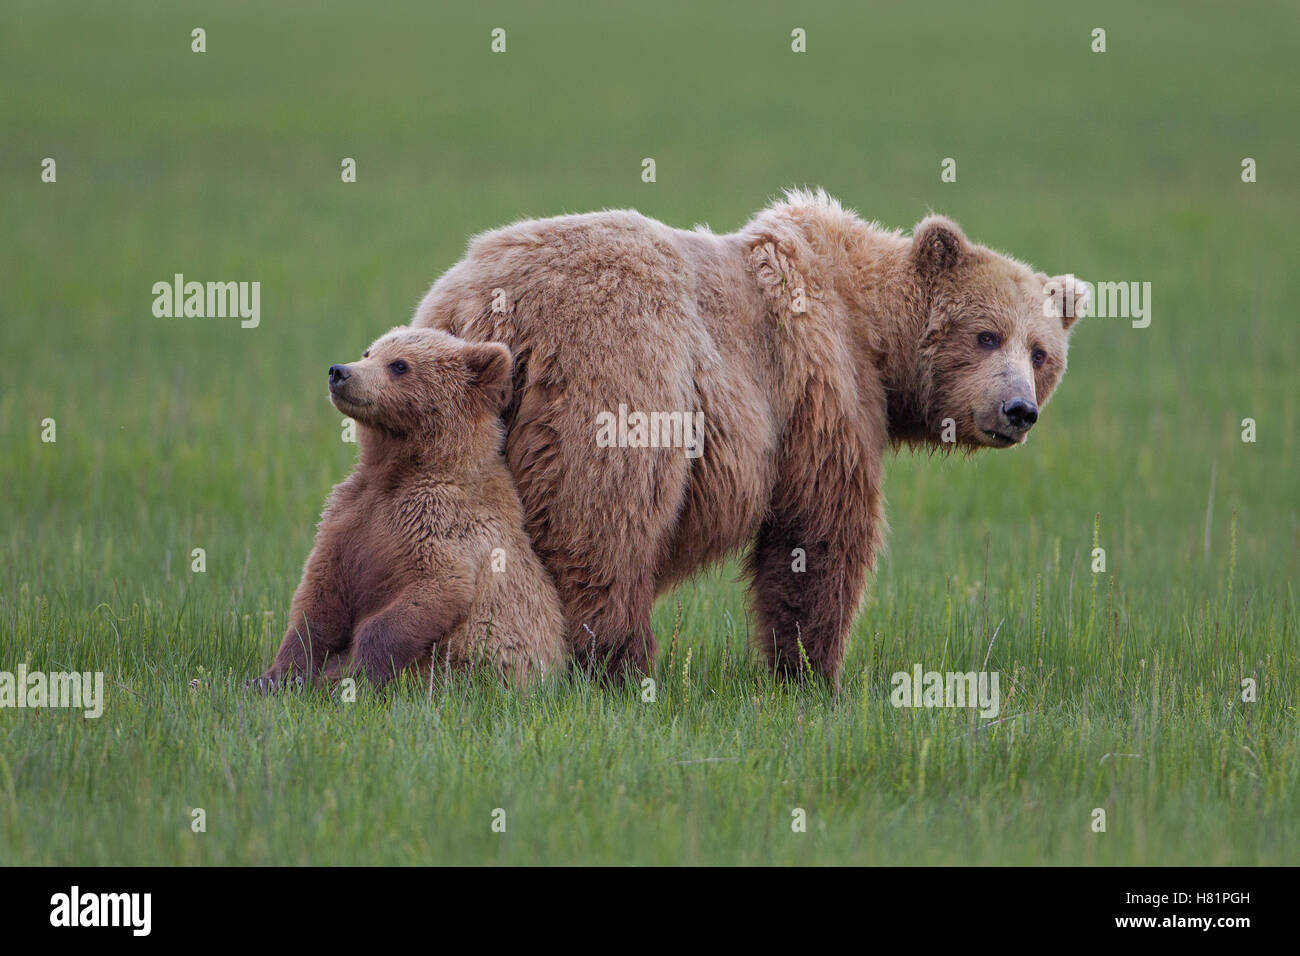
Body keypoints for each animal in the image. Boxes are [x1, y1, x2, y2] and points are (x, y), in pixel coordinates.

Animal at [410, 191, 1081, 686]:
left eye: (1040, 352)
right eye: (986, 335)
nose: (1019, 410)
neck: (872, 331)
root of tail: (495, 312)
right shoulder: (820, 390)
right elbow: (818, 535)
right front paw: (811, 673)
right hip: (616, 374)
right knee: (603, 528)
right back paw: (615, 667)